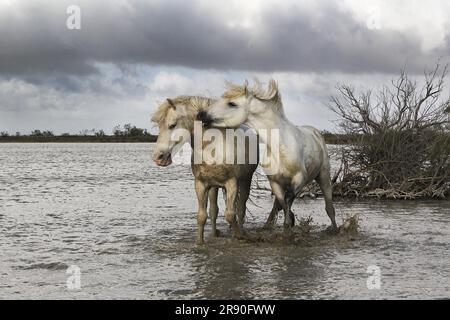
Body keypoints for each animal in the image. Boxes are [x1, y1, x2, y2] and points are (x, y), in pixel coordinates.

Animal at [199, 80, 340, 235]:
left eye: (232, 103)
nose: (201, 114)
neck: (280, 147)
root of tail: (315, 132)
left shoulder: (299, 178)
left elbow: (287, 198)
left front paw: (289, 224)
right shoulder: (275, 182)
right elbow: (282, 201)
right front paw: (289, 224)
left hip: (323, 176)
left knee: (329, 206)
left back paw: (335, 229)